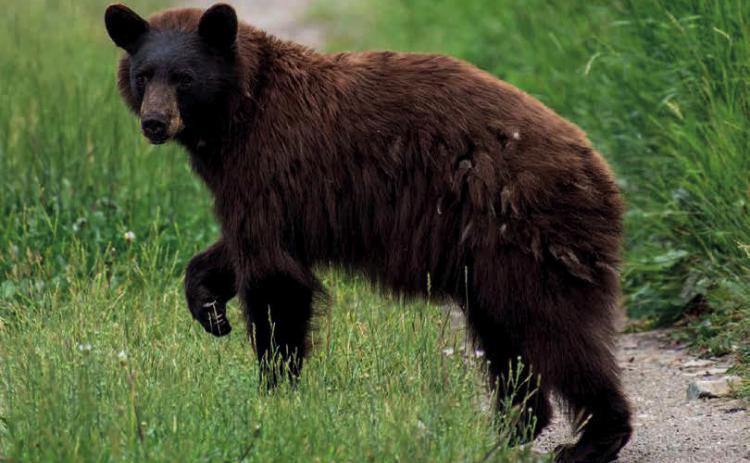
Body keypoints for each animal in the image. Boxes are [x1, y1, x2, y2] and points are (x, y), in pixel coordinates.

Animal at [104, 4, 632, 462]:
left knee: (557, 330)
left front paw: (274, 396)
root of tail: (599, 168)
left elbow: (275, 275)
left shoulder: (271, 166)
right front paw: (210, 307)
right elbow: (242, 248)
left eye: (184, 78)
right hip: (488, 257)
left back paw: (591, 440)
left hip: (524, 231)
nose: (155, 122)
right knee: (504, 339)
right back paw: (508, 430)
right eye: (143, 74)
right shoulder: (260, 192)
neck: (240, 111)